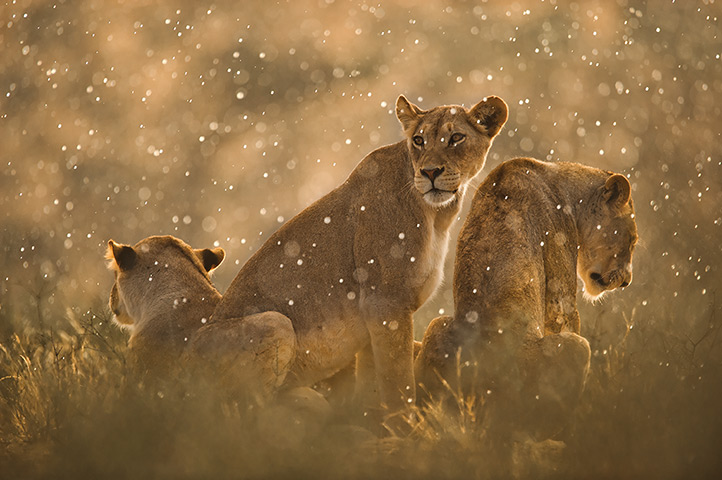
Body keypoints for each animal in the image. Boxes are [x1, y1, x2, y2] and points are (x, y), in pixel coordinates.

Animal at [206, 95, 509, 415]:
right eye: (419, 140)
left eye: (456, 138)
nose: (430, 172)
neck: (437, 215)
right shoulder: (385, 301)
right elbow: (398, 380)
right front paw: (406, 424)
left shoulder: (372, 319)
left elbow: (372, 385)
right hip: (275, 323)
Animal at [414, 157, 638, 441]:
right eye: (631, 239)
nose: (627, 280)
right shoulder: (559, 272)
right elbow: (565, 315)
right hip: (575, 348)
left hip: (438, 326)